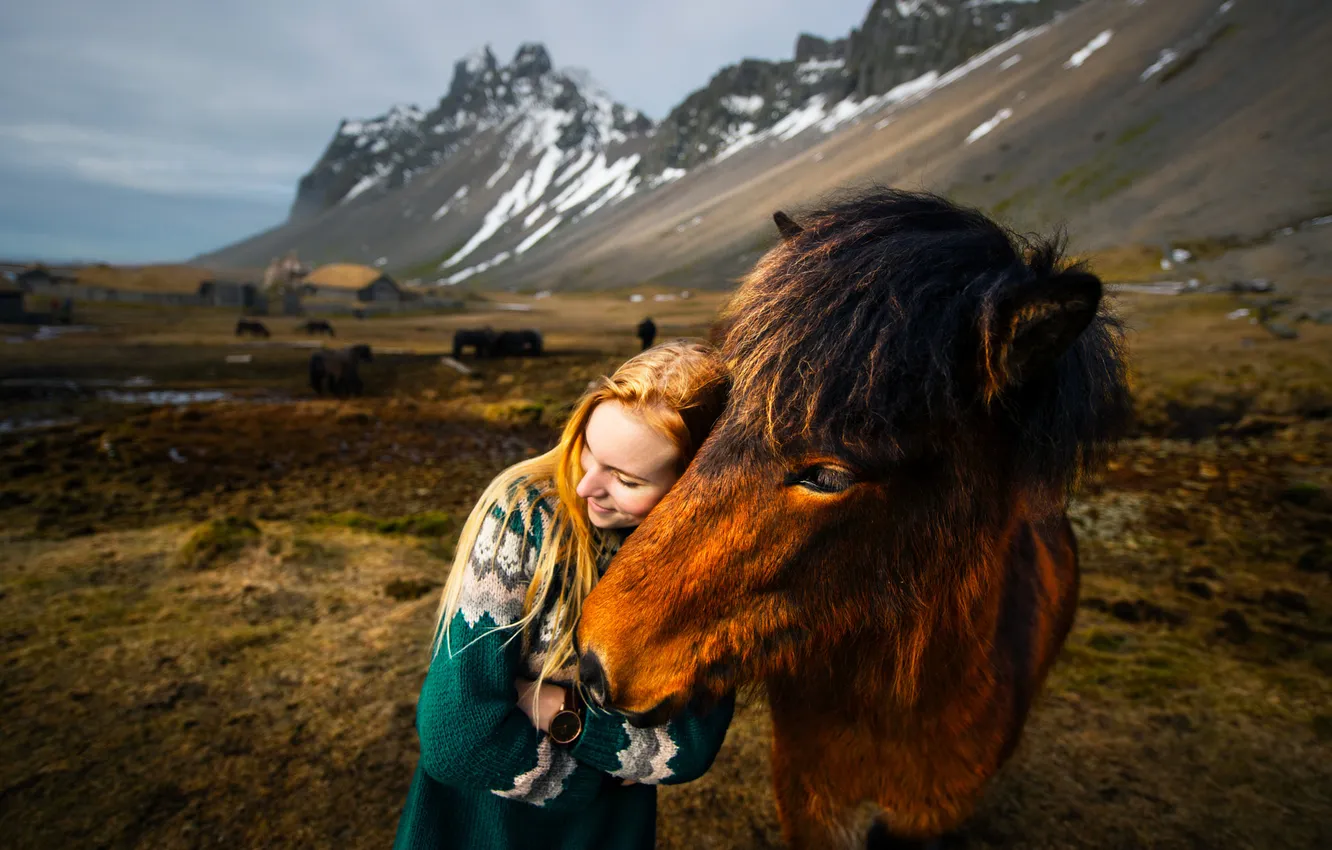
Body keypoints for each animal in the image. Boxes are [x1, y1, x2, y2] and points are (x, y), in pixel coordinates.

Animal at [575, 189, 1131, 849]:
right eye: (725, 411)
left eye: (832, 475)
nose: (591, 659)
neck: (892, 717)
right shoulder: (812, 803)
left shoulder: (929, 817)